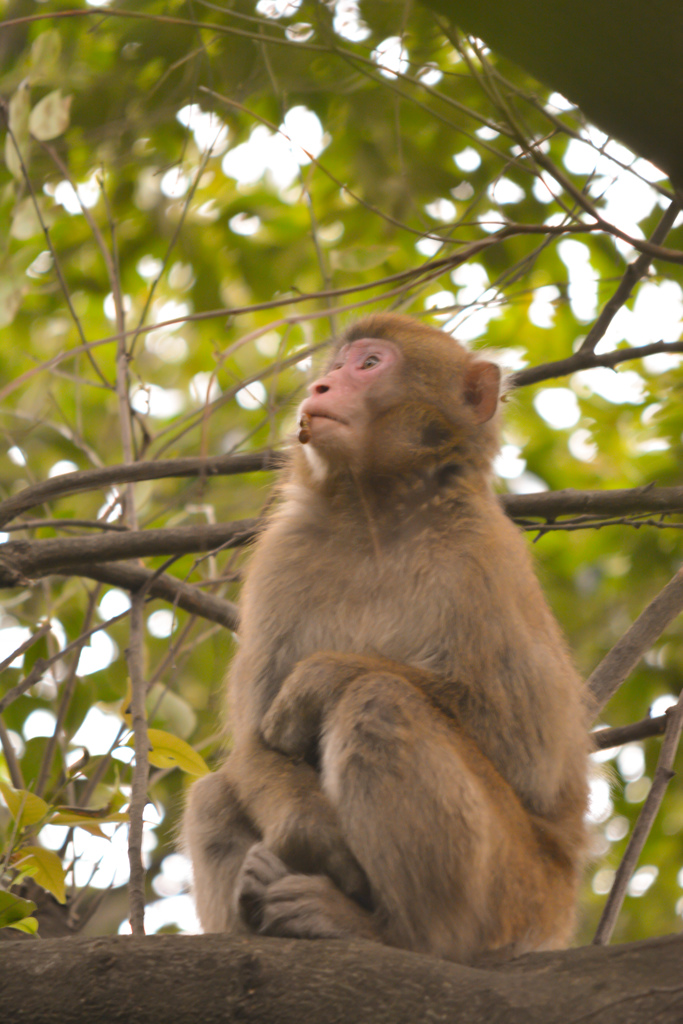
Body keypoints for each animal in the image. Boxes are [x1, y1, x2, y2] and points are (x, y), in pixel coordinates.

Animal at [184, 311, 589, 958]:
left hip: (518, 891)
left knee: (381, 699)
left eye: (370, 365)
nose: (321, 387)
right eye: (336, 366)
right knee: (214, 794)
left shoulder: (485, 559)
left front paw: (320, 678)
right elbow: (255, 744)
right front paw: (314, 837)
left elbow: (532, 754)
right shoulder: (279, 559)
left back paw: (394, 933)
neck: (376, 516)